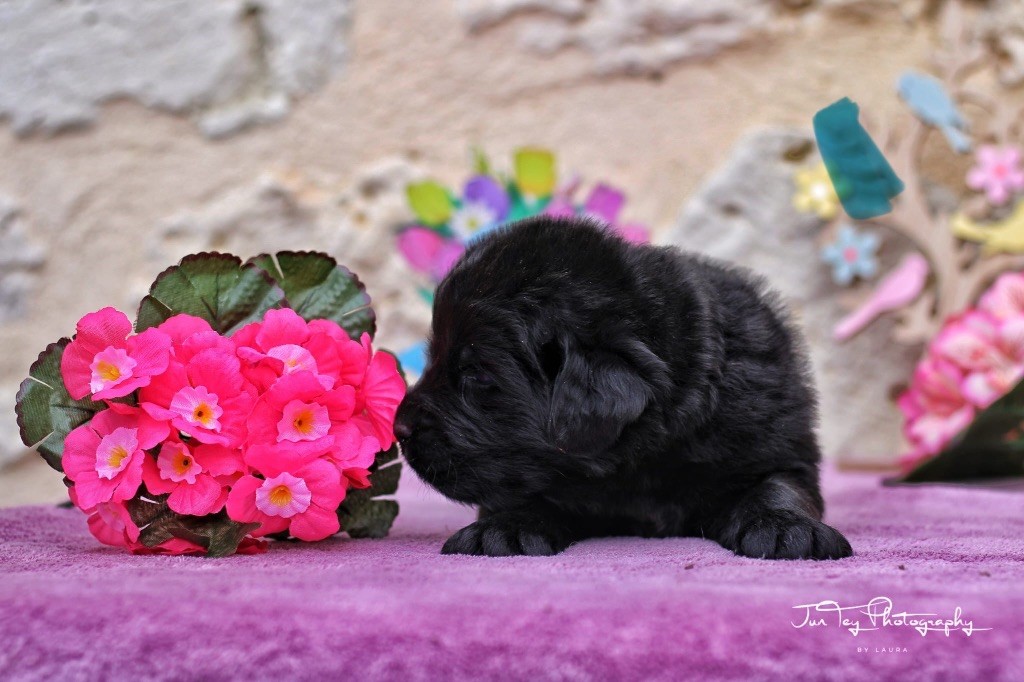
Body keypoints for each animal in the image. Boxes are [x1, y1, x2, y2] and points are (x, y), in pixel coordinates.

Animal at [395, 216, 852, 560]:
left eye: (477, 375)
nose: (399, 428)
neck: (640, 461)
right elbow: (523, 491)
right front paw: (499, 529)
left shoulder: (772, 442)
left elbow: (779, 485)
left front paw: (787, 528)